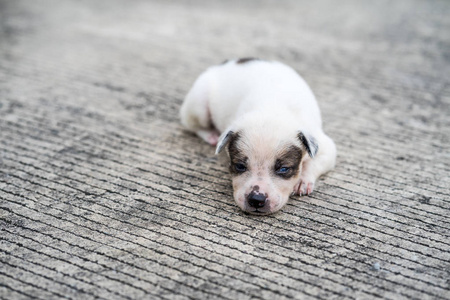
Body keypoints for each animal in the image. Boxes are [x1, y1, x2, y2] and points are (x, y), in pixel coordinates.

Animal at [181, 58, 336, 213]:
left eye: (284, 169)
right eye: (239, 166)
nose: (256, 199)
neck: (271, 109)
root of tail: (225, 63)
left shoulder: (325, 148)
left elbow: (314, 162)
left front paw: (302, 180)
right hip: (199, 103)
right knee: (193, 125)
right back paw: (211, 135)